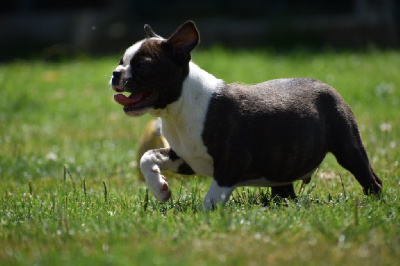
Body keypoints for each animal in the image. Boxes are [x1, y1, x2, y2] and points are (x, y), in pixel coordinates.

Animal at [109, 20, 382, 209]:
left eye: (142, 64)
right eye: (121, 61)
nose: (115, 73)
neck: (177, 111)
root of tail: (325, 85)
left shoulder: (232, 161)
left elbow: (212, 197)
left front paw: (205, 216)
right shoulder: (186, 156)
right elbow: (147, 156)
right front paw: (160, 189)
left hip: (348, 144)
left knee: (370, 178)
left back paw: (376, 203)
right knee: (285, 192)